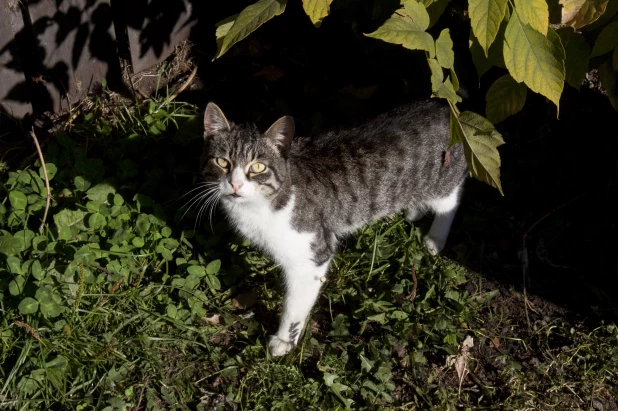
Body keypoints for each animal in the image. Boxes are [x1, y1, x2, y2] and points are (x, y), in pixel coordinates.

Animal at [200, 100, 464, 358]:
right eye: (222, 162)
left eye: (257, 167)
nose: (234, 184)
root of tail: (445, 107)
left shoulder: (312, 256)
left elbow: (294, 306)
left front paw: (285, 341)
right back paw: (413, 209)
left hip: (443, 182)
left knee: (451, 199)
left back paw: (435, 239)